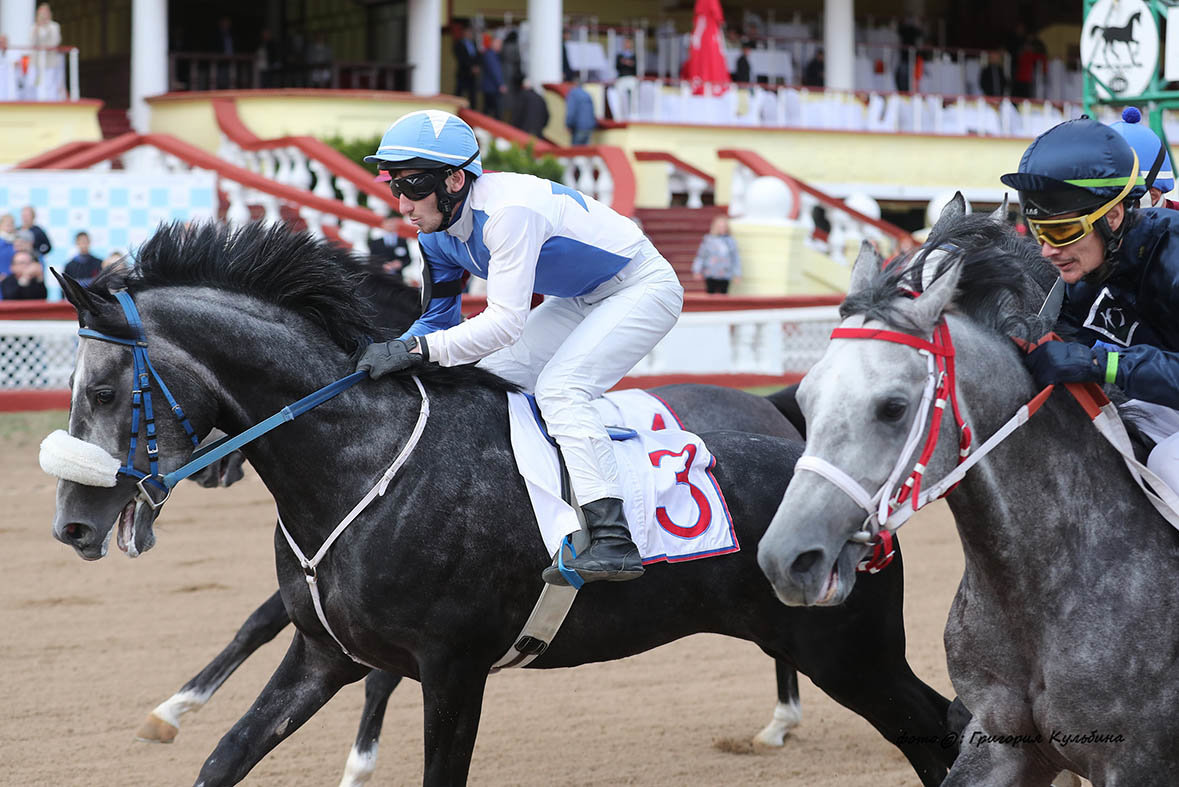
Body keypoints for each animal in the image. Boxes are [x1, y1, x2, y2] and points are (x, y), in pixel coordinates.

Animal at [55, 222, 952, 787]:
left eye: (100, 389)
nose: (71, 522)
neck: (363, 462)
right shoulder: (326, 652)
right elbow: (228, 748)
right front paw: (176, 715)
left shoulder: (451, 666)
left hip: (852, 648)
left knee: (940, 731)